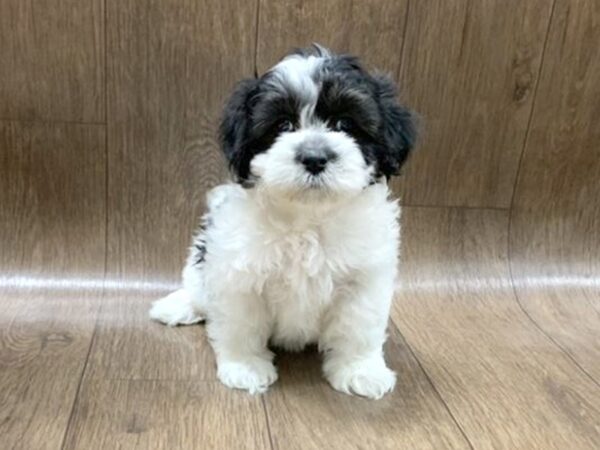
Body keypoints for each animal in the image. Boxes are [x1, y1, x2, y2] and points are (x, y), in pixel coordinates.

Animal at [149, 44, 418, 398]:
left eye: (345, 123)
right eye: (283, 126)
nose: (315, 157)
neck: (307, 218)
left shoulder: (363, 280)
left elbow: (358, 326)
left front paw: (360, 370)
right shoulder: (239, 276)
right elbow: (242, 324)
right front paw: (245, 367)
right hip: (201, 257)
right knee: (197, 288)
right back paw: (179, 305)